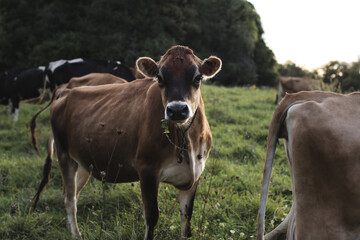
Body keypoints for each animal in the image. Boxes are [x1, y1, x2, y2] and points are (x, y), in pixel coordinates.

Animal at [31, 45, 222, 240]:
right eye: (160, 78)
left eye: (198, 77)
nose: (177, 110)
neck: (185, 140)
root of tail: (65, 90)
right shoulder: (147, 170)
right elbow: (151, 217)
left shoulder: (194, 174)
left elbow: (187, 220)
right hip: (64, 154)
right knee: (70, 199)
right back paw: (77, 234)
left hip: (84, 161)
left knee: (72, 193)